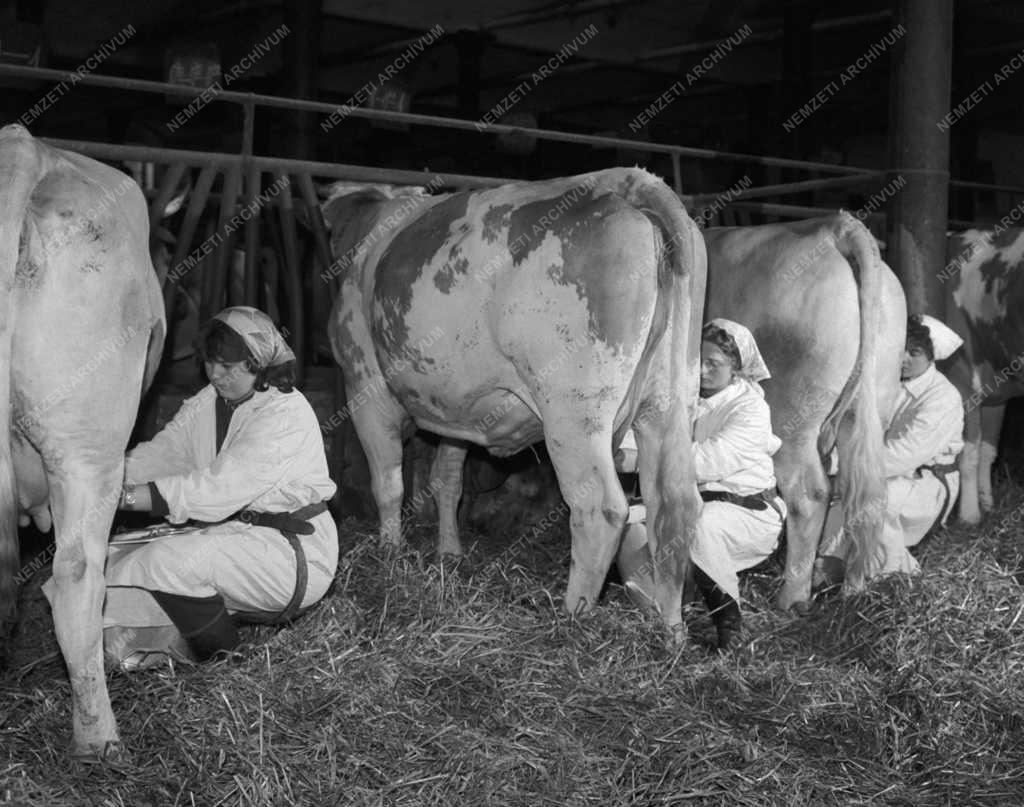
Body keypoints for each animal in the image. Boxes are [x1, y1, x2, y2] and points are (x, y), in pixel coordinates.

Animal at [323, 166, 708, 626]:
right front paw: (449, 553)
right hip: (670, 397)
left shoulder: (364, 384)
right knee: (674, 501)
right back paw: (669, 627)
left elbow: (388, 484)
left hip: (574, 410)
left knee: (601, 508)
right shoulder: (455, 410)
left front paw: (390, 556)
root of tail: (628, 182)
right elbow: (446, 481)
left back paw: (571, 616)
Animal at [700, 210, 909, 610]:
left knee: (809, 494)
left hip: (789, 419)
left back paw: (792, 597)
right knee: (864, 493)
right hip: (872, 403)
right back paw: (853, 590)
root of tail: (834, 225)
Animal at [942, 230, 1024, 528]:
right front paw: (972, 515)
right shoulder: (965, 382)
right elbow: (973, 453)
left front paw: (982, 506)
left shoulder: (991, 394)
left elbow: (984, 451)